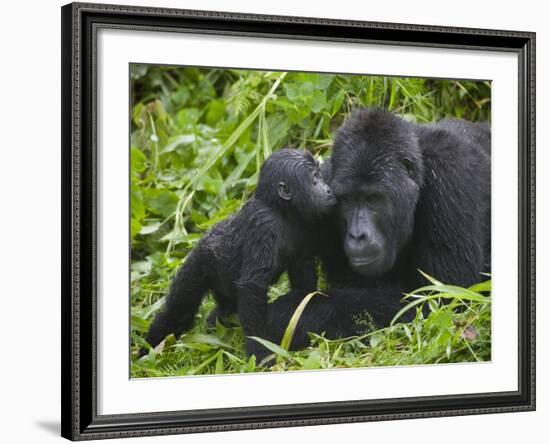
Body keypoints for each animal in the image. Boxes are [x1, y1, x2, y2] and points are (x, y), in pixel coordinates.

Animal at [140, 147, 336, 362]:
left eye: (320, 176)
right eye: (315, 179)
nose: (328, 190)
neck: (281, 210)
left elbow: (303, 279)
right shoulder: (263, 224)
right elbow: (252, 286)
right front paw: (260, 351)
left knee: (224, 309)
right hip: (199, 263)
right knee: (178, 310)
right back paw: (148, 350)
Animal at [270, 108, 494, 350]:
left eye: (373, 199)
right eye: (347, 200)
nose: (357, 235)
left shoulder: (450, 176)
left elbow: (442, 298)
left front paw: (287, 314)